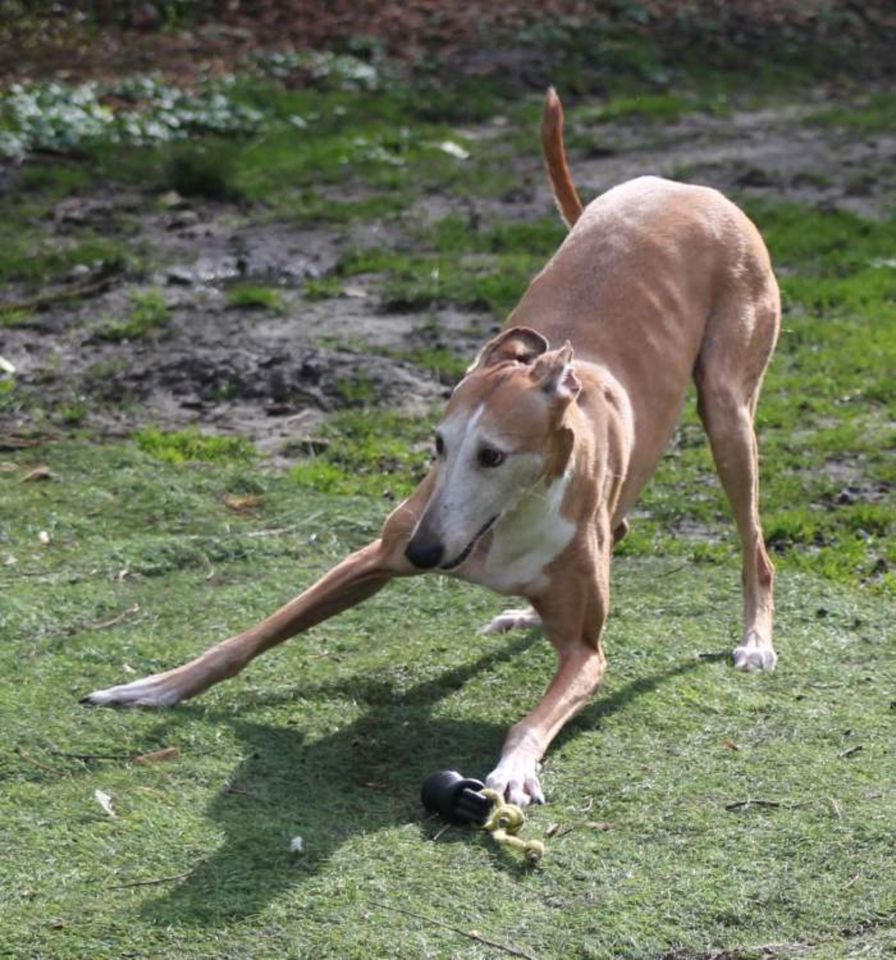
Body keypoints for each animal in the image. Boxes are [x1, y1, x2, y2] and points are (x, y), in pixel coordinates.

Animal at [87, 92, 780, 808]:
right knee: (618, 526)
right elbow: (249, 637)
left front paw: (514, 769)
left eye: (493, 456)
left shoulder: (588, 654)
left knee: (754, 544)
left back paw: (755, 639)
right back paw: (528, 615)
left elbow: (536, 713)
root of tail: (683, 186)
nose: (424, 554)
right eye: (437, 445)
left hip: (727, 410)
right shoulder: (371, 557)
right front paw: (156, 687)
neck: (502, 528)